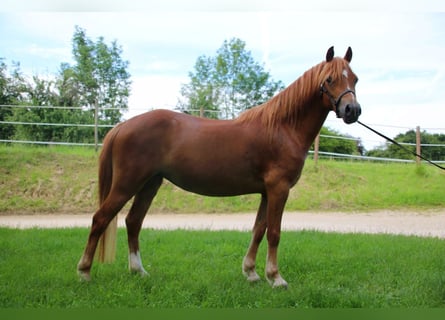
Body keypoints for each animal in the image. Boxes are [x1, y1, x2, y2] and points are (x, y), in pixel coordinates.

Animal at [76, 45, 360, 288]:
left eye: (355, 79)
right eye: (329, 80)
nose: (352, 110)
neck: (282, 127)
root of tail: (123, 125)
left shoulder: (266, 192)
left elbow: (259, 230)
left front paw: (251, 273)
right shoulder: (279, 189)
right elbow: (274, 232)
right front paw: (276, 278)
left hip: (149, 184)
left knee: (133, 221)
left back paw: (139, 271)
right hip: (127, 184)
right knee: (100, 219)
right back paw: (84, 272)